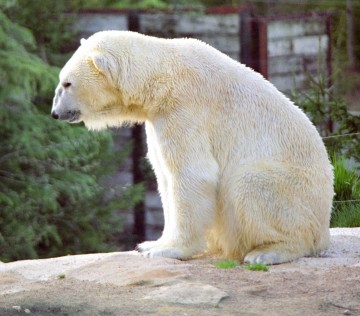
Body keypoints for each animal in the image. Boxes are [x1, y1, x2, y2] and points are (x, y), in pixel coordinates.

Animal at [51, 31, 334, 264]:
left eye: (67, 83)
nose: (55, 113)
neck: (162, 76)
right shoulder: (158, 118)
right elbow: (164, 176)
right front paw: (150, 244)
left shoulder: (185, 109)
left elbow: (191, 174)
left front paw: (168, 250)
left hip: (298, 194)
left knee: (249, 182)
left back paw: (267, 252)